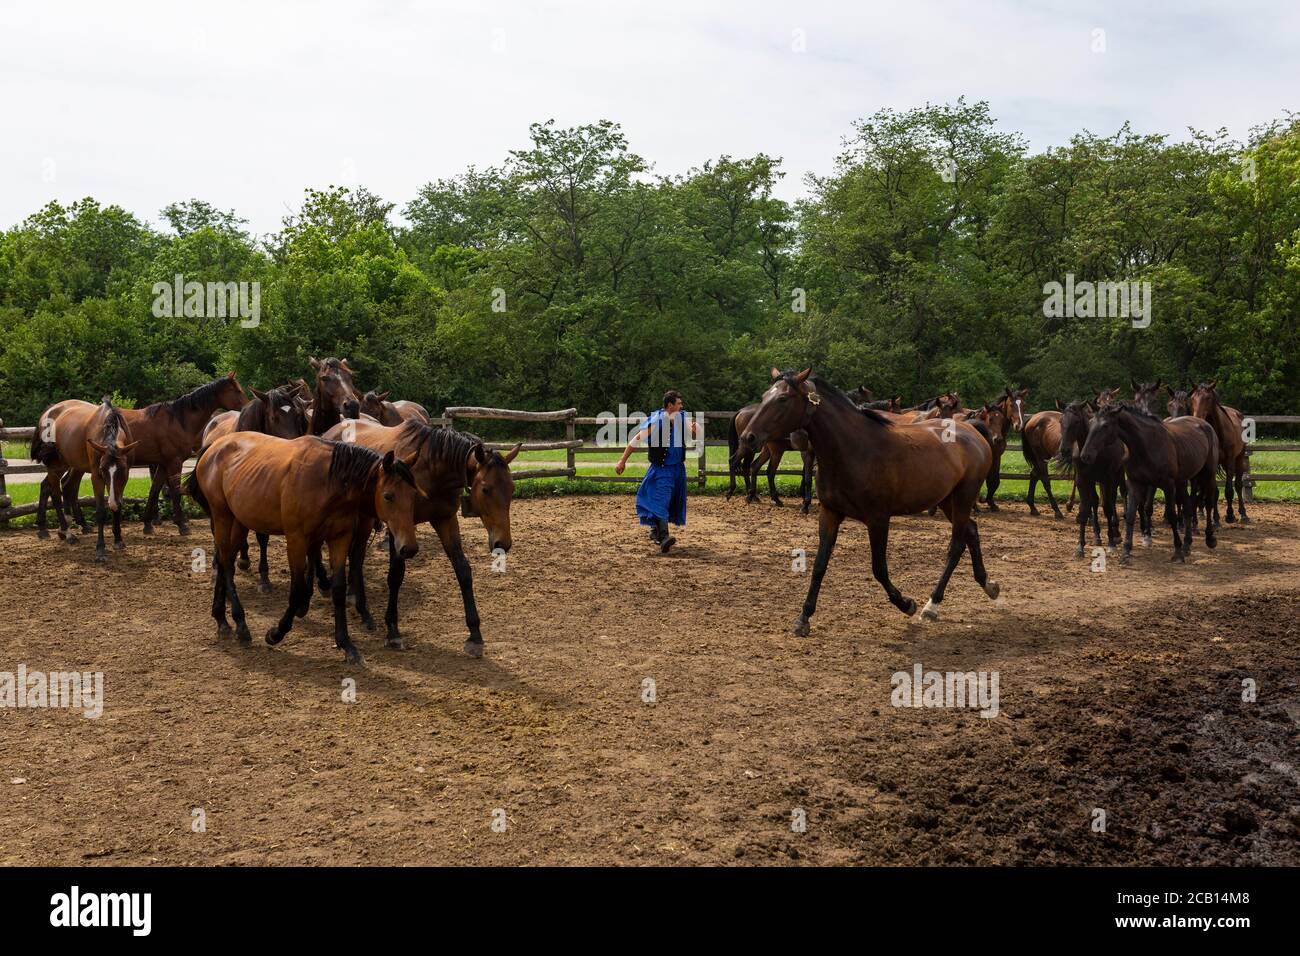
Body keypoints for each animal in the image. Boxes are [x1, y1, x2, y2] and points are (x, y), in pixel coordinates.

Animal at [185, 434, 421, 665]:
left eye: (413, 496)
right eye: (388, 496)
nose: (408, 548)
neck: (328, 482)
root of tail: (214, 446)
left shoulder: (339, 538)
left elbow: (338, 590)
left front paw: (347, 645)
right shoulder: (297, 540)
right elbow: (297, 589)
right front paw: (276, 633)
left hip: (240, 521)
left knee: (224, 560)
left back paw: (222, 620)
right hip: (222, 515)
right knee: (225, 563)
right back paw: (241, 624)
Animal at [322, 418, 520, 658]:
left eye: (512, 488)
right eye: (486, 489)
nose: (503, 543)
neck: (432, 469)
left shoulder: (445, 520)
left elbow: (463, 570)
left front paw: (474, 634)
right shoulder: (397, 528)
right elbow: (395, 575)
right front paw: (393, 630)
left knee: (357, 557)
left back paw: (363, 611)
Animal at [738, 369, 998, 632]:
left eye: (782, 399)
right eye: (764, 397)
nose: (748, 437)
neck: (854, 450)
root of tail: (971, 431)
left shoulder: (878, 520)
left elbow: (879, 569)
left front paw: (906, 604)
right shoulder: (830, 513)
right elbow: (820, 564)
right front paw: (804, 617)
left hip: (964, 497)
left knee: (956, 545)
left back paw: (932, 605)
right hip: (946, 500)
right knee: (971, 532)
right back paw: (989, 585)